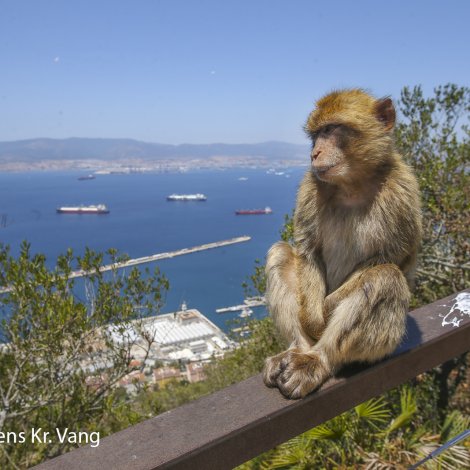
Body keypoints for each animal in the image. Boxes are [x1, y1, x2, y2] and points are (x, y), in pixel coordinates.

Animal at [264, 88, 422, 396]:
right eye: (315, 135)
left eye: (331, 130)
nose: (314, 153)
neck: (352, 184)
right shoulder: (310, 188)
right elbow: (308, 251)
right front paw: (315, 320)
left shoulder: (401, 192)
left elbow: (389, 258)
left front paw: (327, 311)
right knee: (280, 254)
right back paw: (298, 347)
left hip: (388, 339)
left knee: (385, 278)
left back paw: (318, 359)